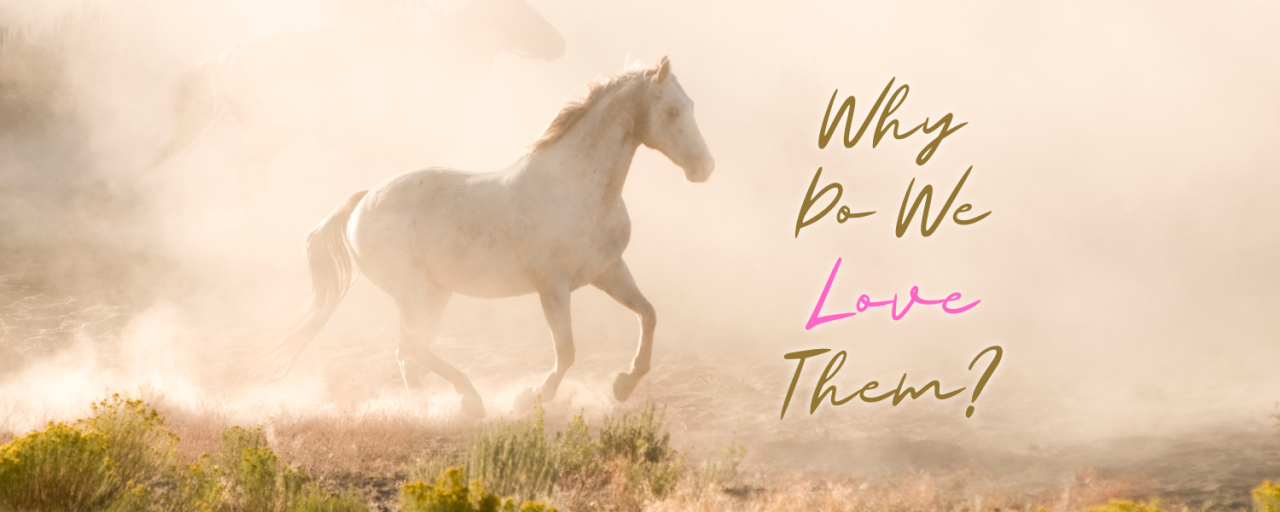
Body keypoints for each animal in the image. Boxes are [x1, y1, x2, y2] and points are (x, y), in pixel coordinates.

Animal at [274, 57, 714, 417]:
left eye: (691, 106)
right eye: (672, 110)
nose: (705, 167)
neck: (575, 188)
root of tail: (362, 202)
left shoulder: (608, 271)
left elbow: (648, 314)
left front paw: (623, 384)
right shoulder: (553, 286)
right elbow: (566, 350)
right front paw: (531, 397)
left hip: (435, 292)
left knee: (408, 352)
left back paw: (425, 407)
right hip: (411, 290)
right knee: (412, 347)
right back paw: (469, 400)